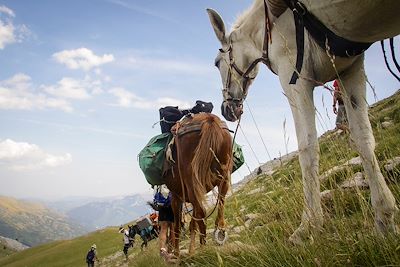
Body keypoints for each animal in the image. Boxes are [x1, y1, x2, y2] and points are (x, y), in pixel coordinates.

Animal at [208, 0, 398, 245]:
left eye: (216, 63)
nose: (227, 110)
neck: (271, 25)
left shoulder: (295, 78)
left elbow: (307, 149)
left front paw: (308, 226)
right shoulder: (351, 69)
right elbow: (363, 138)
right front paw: (384, 218)